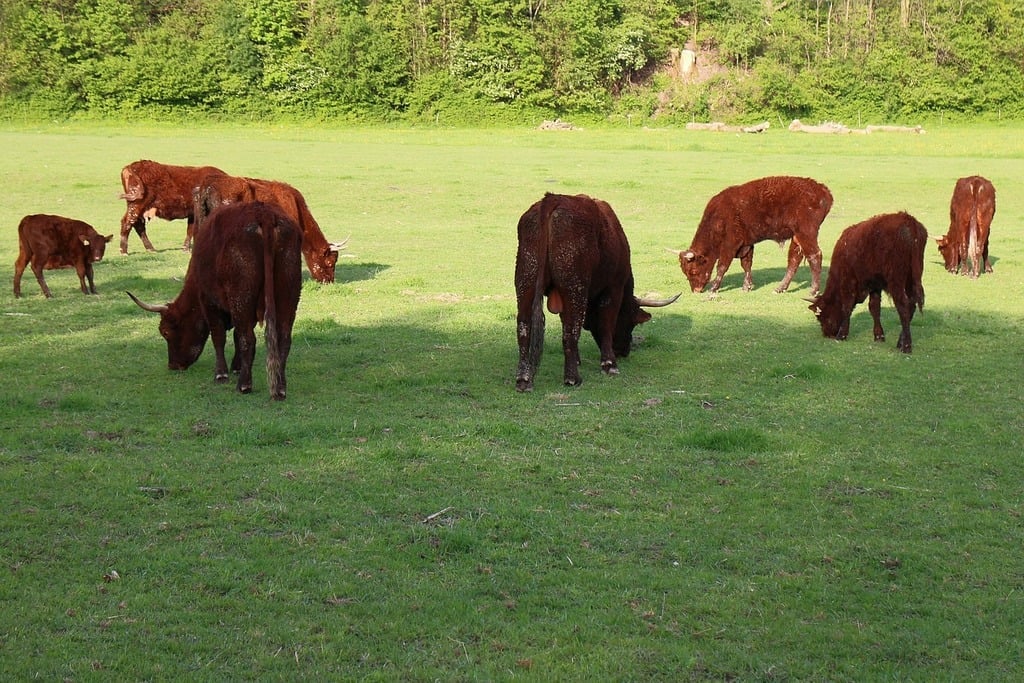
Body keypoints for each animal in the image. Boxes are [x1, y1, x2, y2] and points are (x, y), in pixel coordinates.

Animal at [126, 200, 299, 397]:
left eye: (165, 332)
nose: (173, 365)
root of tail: (264, 213)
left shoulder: (209, 302)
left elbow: (219, 336)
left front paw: (221, 373)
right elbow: (236, 336)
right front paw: (236, 366)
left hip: (242, 298)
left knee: (248, 338)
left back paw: (244, 385)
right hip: (287, 294)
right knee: (283, 338)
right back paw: (280, 387)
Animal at [512, 194, 679, 393]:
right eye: (631, 322)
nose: (623, 351)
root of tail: (553, 198)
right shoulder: (613, 288)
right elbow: (606, 324)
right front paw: (609, 364)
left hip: (526, 282)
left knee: (524, 328)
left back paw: (524, 380)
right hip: (575, 288)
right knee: (571, 329)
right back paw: (572, 378)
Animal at [671, 176, 831, 294]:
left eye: (693, 270)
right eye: (685, 272)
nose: (696, 290)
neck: (717, 217)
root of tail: (822, 189)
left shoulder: (730, 244)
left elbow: (722, 266)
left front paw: (713, 289)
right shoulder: (746, 243)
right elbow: (746, 264)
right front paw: (746, 286)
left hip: (806, 234)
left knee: (814, 256)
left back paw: (813, 290)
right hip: (796, 237)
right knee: (794, 260)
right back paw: (780, 288)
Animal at [806, 211, 929, 352]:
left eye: (821, 317)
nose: (827, 334)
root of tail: (908, 220)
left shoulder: (848, 281)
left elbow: (847, 307)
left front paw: (842, 335)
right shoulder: (875, 285)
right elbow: (874, 308)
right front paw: (879, 336)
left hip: (896, 281)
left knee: (903, 306)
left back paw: (906, 346)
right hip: (912, 279)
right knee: (911, 305)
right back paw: (900, 342)